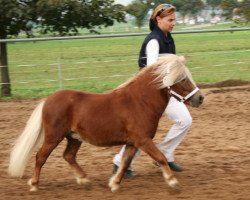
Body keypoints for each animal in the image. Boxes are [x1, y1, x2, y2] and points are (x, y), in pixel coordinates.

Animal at [8, 54, 203, 192]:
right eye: (182, 79)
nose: (200, 98)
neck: (139, 102)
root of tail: (48, 100)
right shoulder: (143, 140)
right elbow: (160, 157)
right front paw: (173, 182)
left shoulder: (132, 143)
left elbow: (124, 164)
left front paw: (114, 184)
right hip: (53, 136)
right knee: (40, 157)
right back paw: (34, 184)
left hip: (74, 137)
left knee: (68, 156)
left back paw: (84, 180)